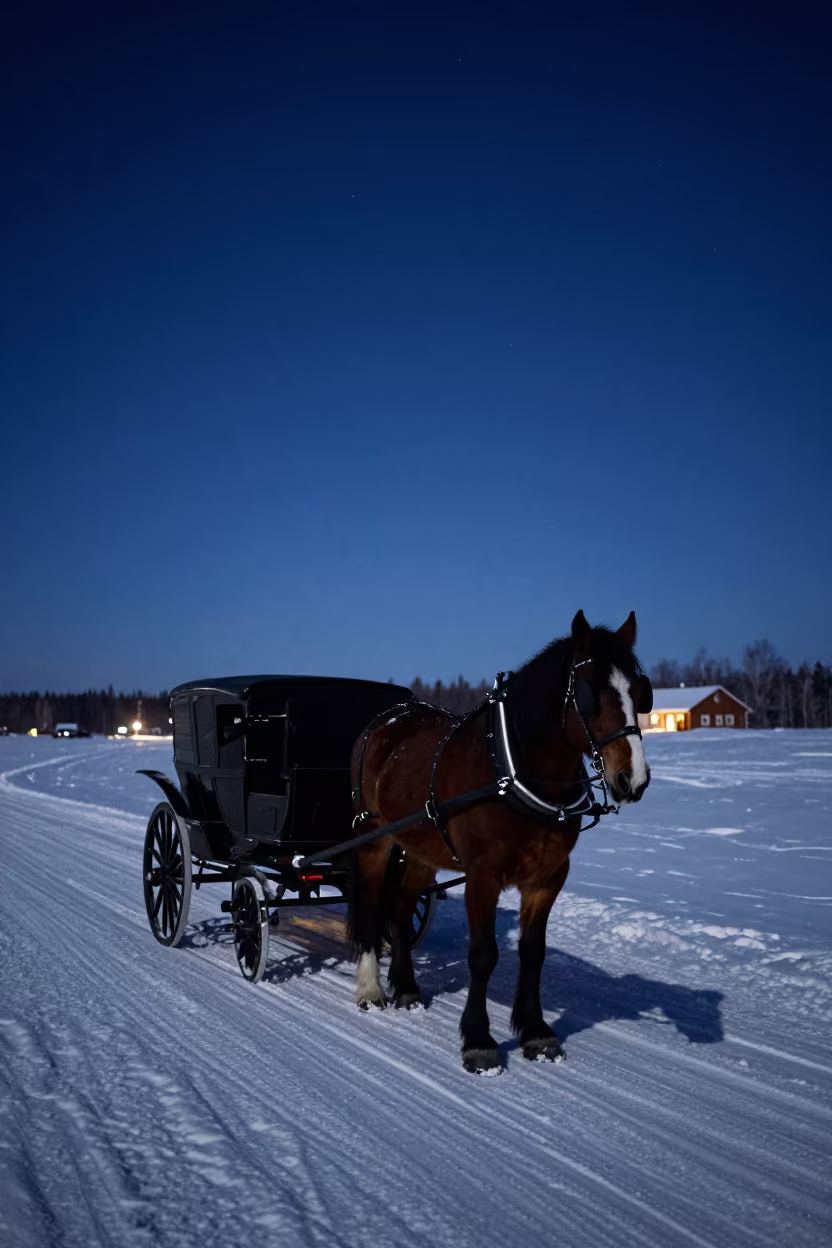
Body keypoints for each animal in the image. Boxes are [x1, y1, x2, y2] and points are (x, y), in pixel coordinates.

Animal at [346, 610, 653, 1074]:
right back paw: (370, 988)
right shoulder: (483, 875)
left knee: (400, 908)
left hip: (421, 849)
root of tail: (384, 722)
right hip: (374, 839)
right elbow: (483, 954)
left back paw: (406, 986)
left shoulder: (548, 877)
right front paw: (479, 1040)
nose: (632, 780)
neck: (513, 772)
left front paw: (537, 1032)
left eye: (639, 692)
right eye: (588, 693)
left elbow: (532, 952)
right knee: (368, 904)